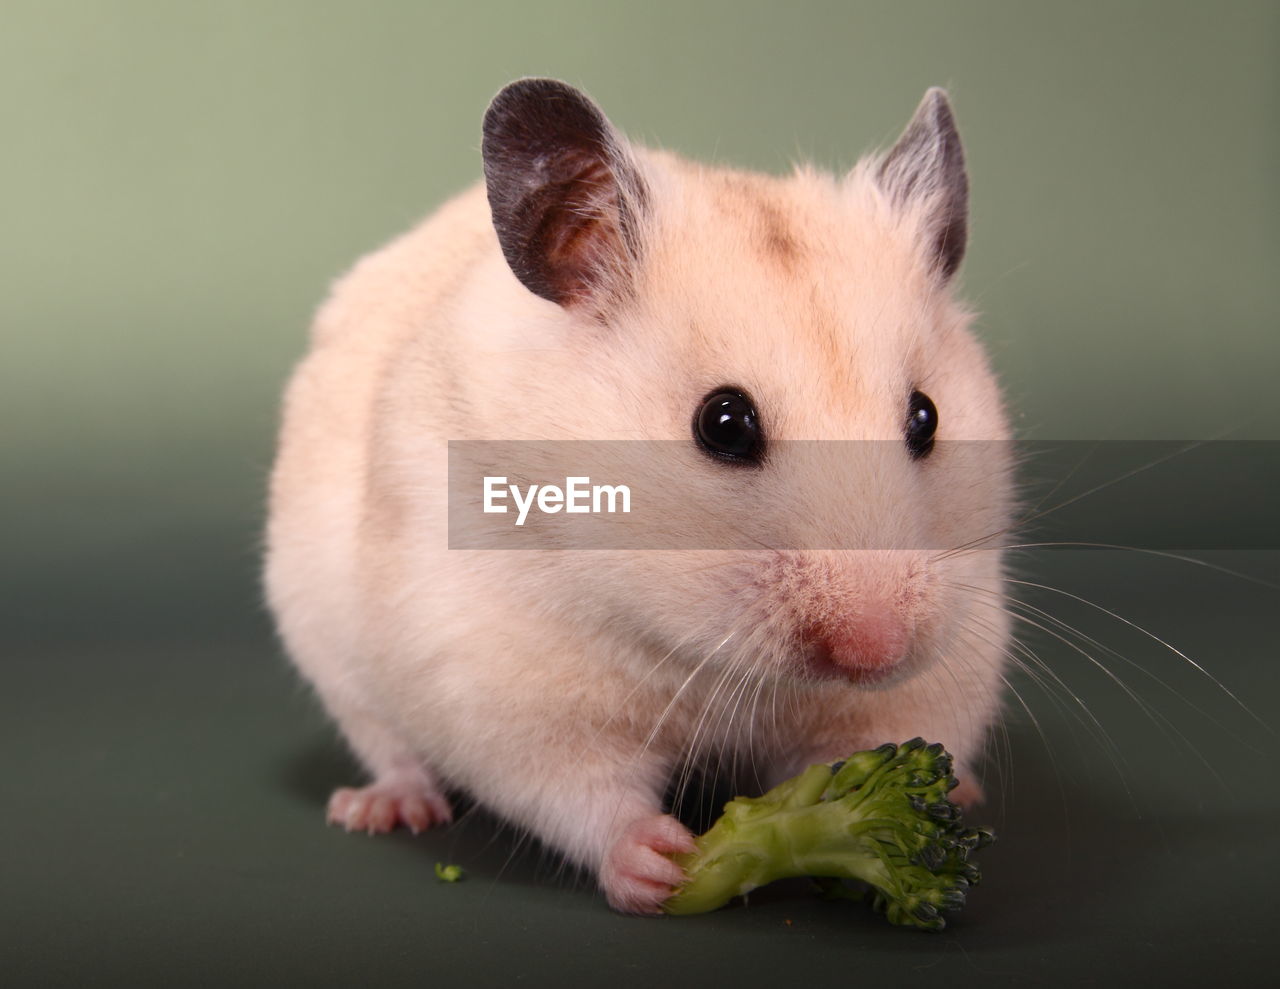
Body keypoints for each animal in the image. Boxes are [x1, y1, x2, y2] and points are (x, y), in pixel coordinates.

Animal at [264, 80, 1013, 916]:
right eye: (724, 423)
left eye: (926, 417)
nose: (874, 651)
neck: (705, 654)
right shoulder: (501, 676)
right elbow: (574, 785)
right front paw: (665, 863)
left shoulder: (946, 660)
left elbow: (878, 734)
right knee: (388, 744)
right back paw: (383, 806)